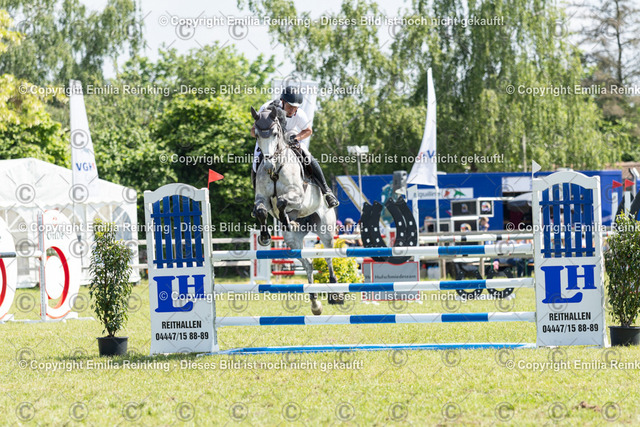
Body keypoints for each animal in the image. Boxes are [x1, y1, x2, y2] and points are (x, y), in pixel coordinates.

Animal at [251, 105, 341, 315]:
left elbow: (283, 201)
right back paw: (315, 302)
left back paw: (335, 293)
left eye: (275, 134)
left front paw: (286, 219)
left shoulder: (298, 195)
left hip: (325, 230)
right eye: (257, 135)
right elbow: (261, 211)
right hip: (293, 243)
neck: (276, 169)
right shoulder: (262, 199)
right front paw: (265, 236)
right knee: (308, 265)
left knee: (329, 258)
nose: (268, 164)